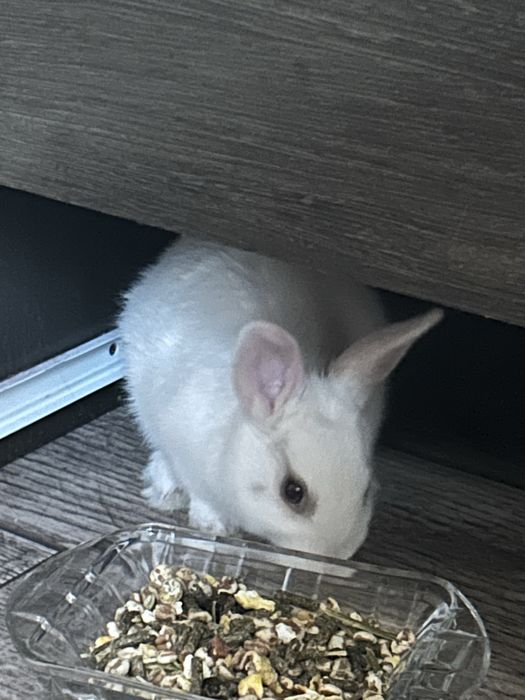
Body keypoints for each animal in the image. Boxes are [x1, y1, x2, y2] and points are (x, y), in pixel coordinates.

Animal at [118, 237, 442, 558]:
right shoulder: (186, 454)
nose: (333, 556)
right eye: (293, 492)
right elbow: (201, 495)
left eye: (365, 490)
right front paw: (214, 525)